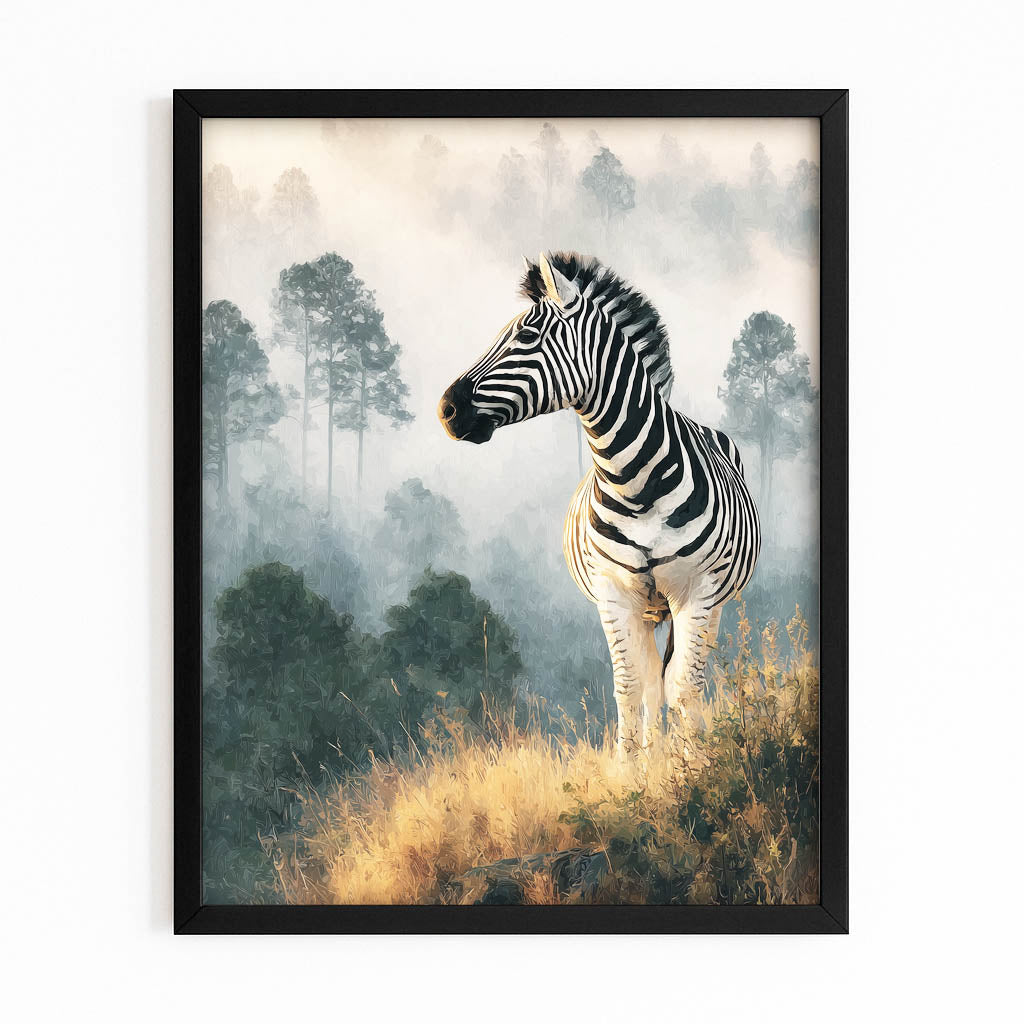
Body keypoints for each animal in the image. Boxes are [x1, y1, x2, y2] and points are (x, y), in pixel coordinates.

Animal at [438, 252, 760, 764]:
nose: (447, 409)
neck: (636, 482)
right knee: (651, 682)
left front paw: (698, 770)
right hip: (645, 610)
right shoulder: (614, 592)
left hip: (712, 602)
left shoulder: (696, 590)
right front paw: (632, 773)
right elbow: (630, 687)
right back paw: (652, 759)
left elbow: (685, 688)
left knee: (682, 679)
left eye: (526, 337)